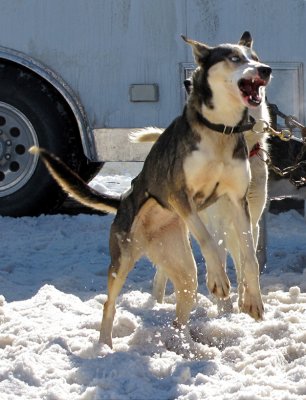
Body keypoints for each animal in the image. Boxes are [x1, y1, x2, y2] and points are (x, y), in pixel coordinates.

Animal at [30, 32, 270, 348]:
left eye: (255, 58)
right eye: (235, 58)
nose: (266, 70)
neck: (219, 130)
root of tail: (122, 201)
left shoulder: (238, 202)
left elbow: (249, 257)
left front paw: (252, 299)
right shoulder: (179, 196)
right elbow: (208, 241)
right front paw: (218, 278)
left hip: (182, 269)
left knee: (181, 305)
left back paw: (181, 343)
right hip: (122, 259)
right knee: (109, 304)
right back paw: (105, 345)